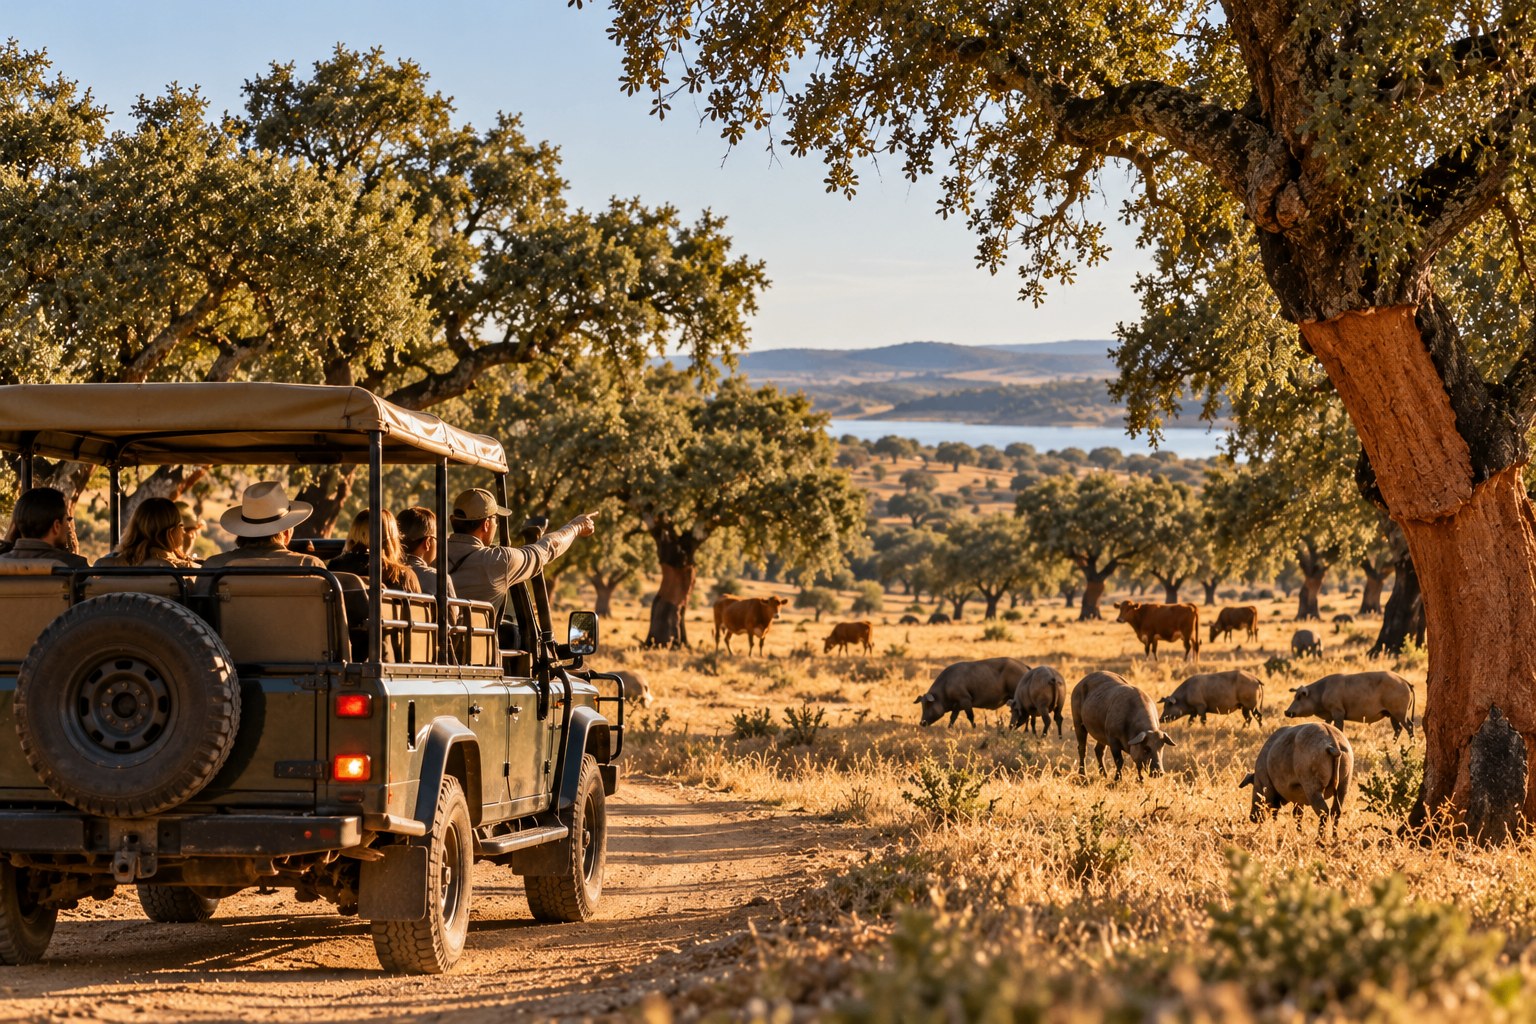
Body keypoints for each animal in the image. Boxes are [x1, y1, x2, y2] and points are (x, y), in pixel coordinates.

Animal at [1284, 671, 1416, 738]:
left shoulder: (1338, 712)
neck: (1323, 691)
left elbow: (1339, 728)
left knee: (1409, 726)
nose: (1287, 711)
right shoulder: (1329, 716)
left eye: (1299, 697)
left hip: (1399, 713)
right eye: (1294, 696)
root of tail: (1406, 682)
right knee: (1399, 728)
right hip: (1393, 714)